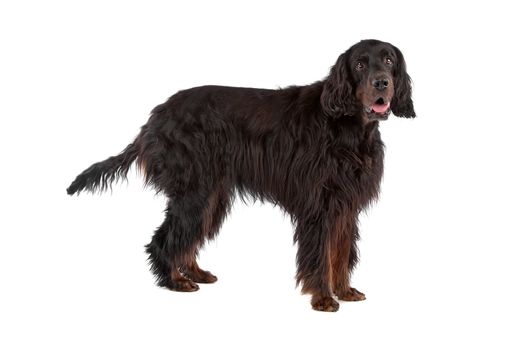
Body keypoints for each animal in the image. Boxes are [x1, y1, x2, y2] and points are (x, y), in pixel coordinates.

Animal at [67, 40, 416, 312]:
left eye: (388, 60)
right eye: (359, 64)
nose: (382, 83)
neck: (347, 125)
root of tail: (155, 118)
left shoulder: (345, 205)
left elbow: (341, 254)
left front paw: (344, 290)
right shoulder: (318, 205)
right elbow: (320, 255)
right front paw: (323, 298)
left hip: (212, 193)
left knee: (187, 238)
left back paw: (193, 273)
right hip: (194, 191)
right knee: (164, 239)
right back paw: (175, 281)